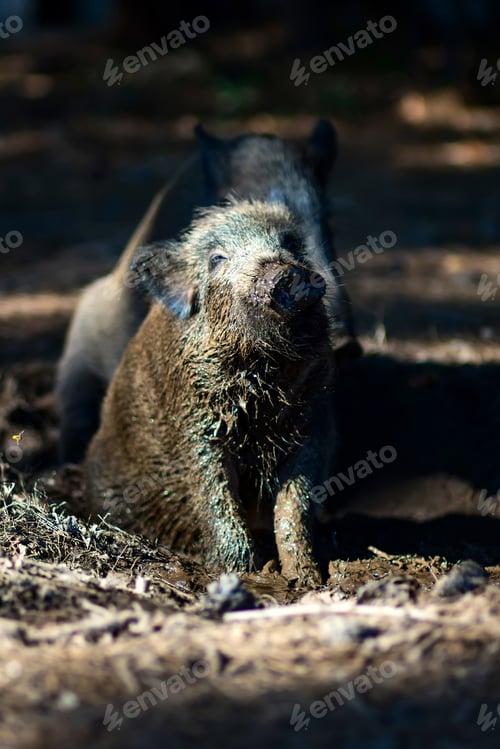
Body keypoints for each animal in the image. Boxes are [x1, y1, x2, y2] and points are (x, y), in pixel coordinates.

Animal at [84, 200, 338, 587]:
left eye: (291, 244)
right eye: (217, 258)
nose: (285, 272)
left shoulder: (312, 423)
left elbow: (295, 505)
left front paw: (307, 580)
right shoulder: (194, 426)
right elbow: (215, 496)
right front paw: (248, 574)